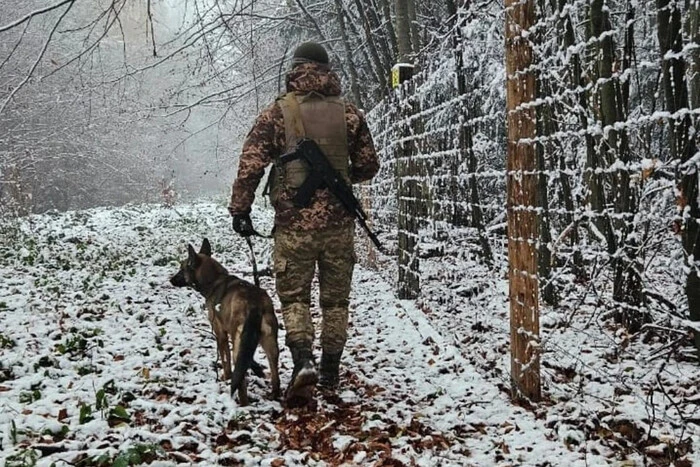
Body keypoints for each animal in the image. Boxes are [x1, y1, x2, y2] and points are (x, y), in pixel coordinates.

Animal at [171, 239, 280, 404]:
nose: (171, 280)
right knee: (275, 376)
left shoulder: (220, 333)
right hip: (271, 346)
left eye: (182, 268)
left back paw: (242, 403)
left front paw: (225, 377)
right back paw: (274, 395)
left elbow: (225, 360)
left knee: (240, 380)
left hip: (239, 346)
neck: (214, 280)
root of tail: (255, 304)